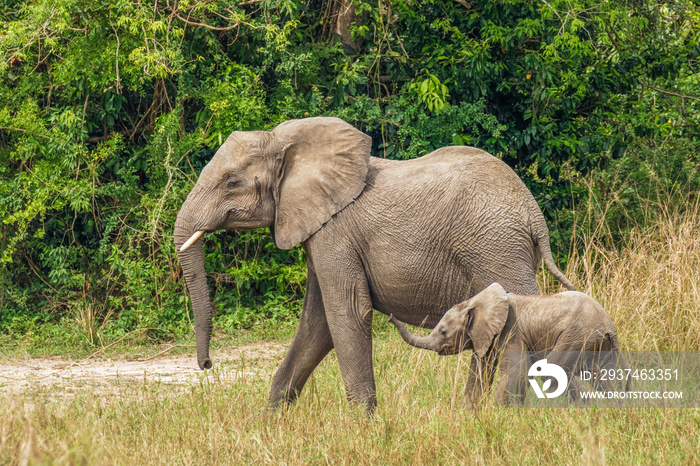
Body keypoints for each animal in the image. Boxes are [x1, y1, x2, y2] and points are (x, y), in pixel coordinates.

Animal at [175, 116, 576, 412]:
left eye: (232, 182)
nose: (206, 365)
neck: (288, 144)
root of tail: (533, 213)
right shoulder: (321, 233)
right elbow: (317, 323)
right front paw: (274, 420)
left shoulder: (335, 232)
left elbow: (346, 312)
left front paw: (363, 425)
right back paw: (472, 412)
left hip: (498, 249)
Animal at [388, 282, 628, 406]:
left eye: (443, 331)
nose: (390, 317)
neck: (475, 302)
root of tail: (609, 325)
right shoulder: (485, 336)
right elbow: (480, 373)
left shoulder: (511, 330)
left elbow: (517, 370)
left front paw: (495, 414)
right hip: (596, 344)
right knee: (603, 377)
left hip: (578, 335)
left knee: (553, 371)